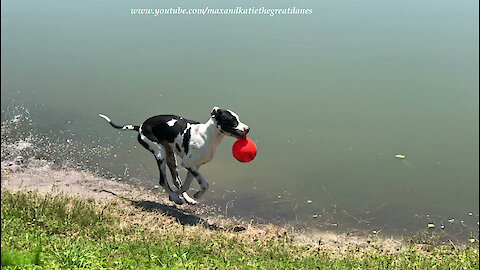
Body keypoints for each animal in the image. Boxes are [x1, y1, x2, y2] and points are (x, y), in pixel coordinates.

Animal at [97, 107, 248, 205]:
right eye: (232, 120)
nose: (248, 129)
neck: (206, 135)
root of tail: (140, 127)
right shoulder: (188, 164)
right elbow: (205, 184)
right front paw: (196, 194)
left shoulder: (194, 166)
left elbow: (186, 185)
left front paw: (186, 195)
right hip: (160, 155)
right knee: (163, 181)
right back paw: (175, 197)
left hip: (171, 158)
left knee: (175, 180)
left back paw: (183, 198)